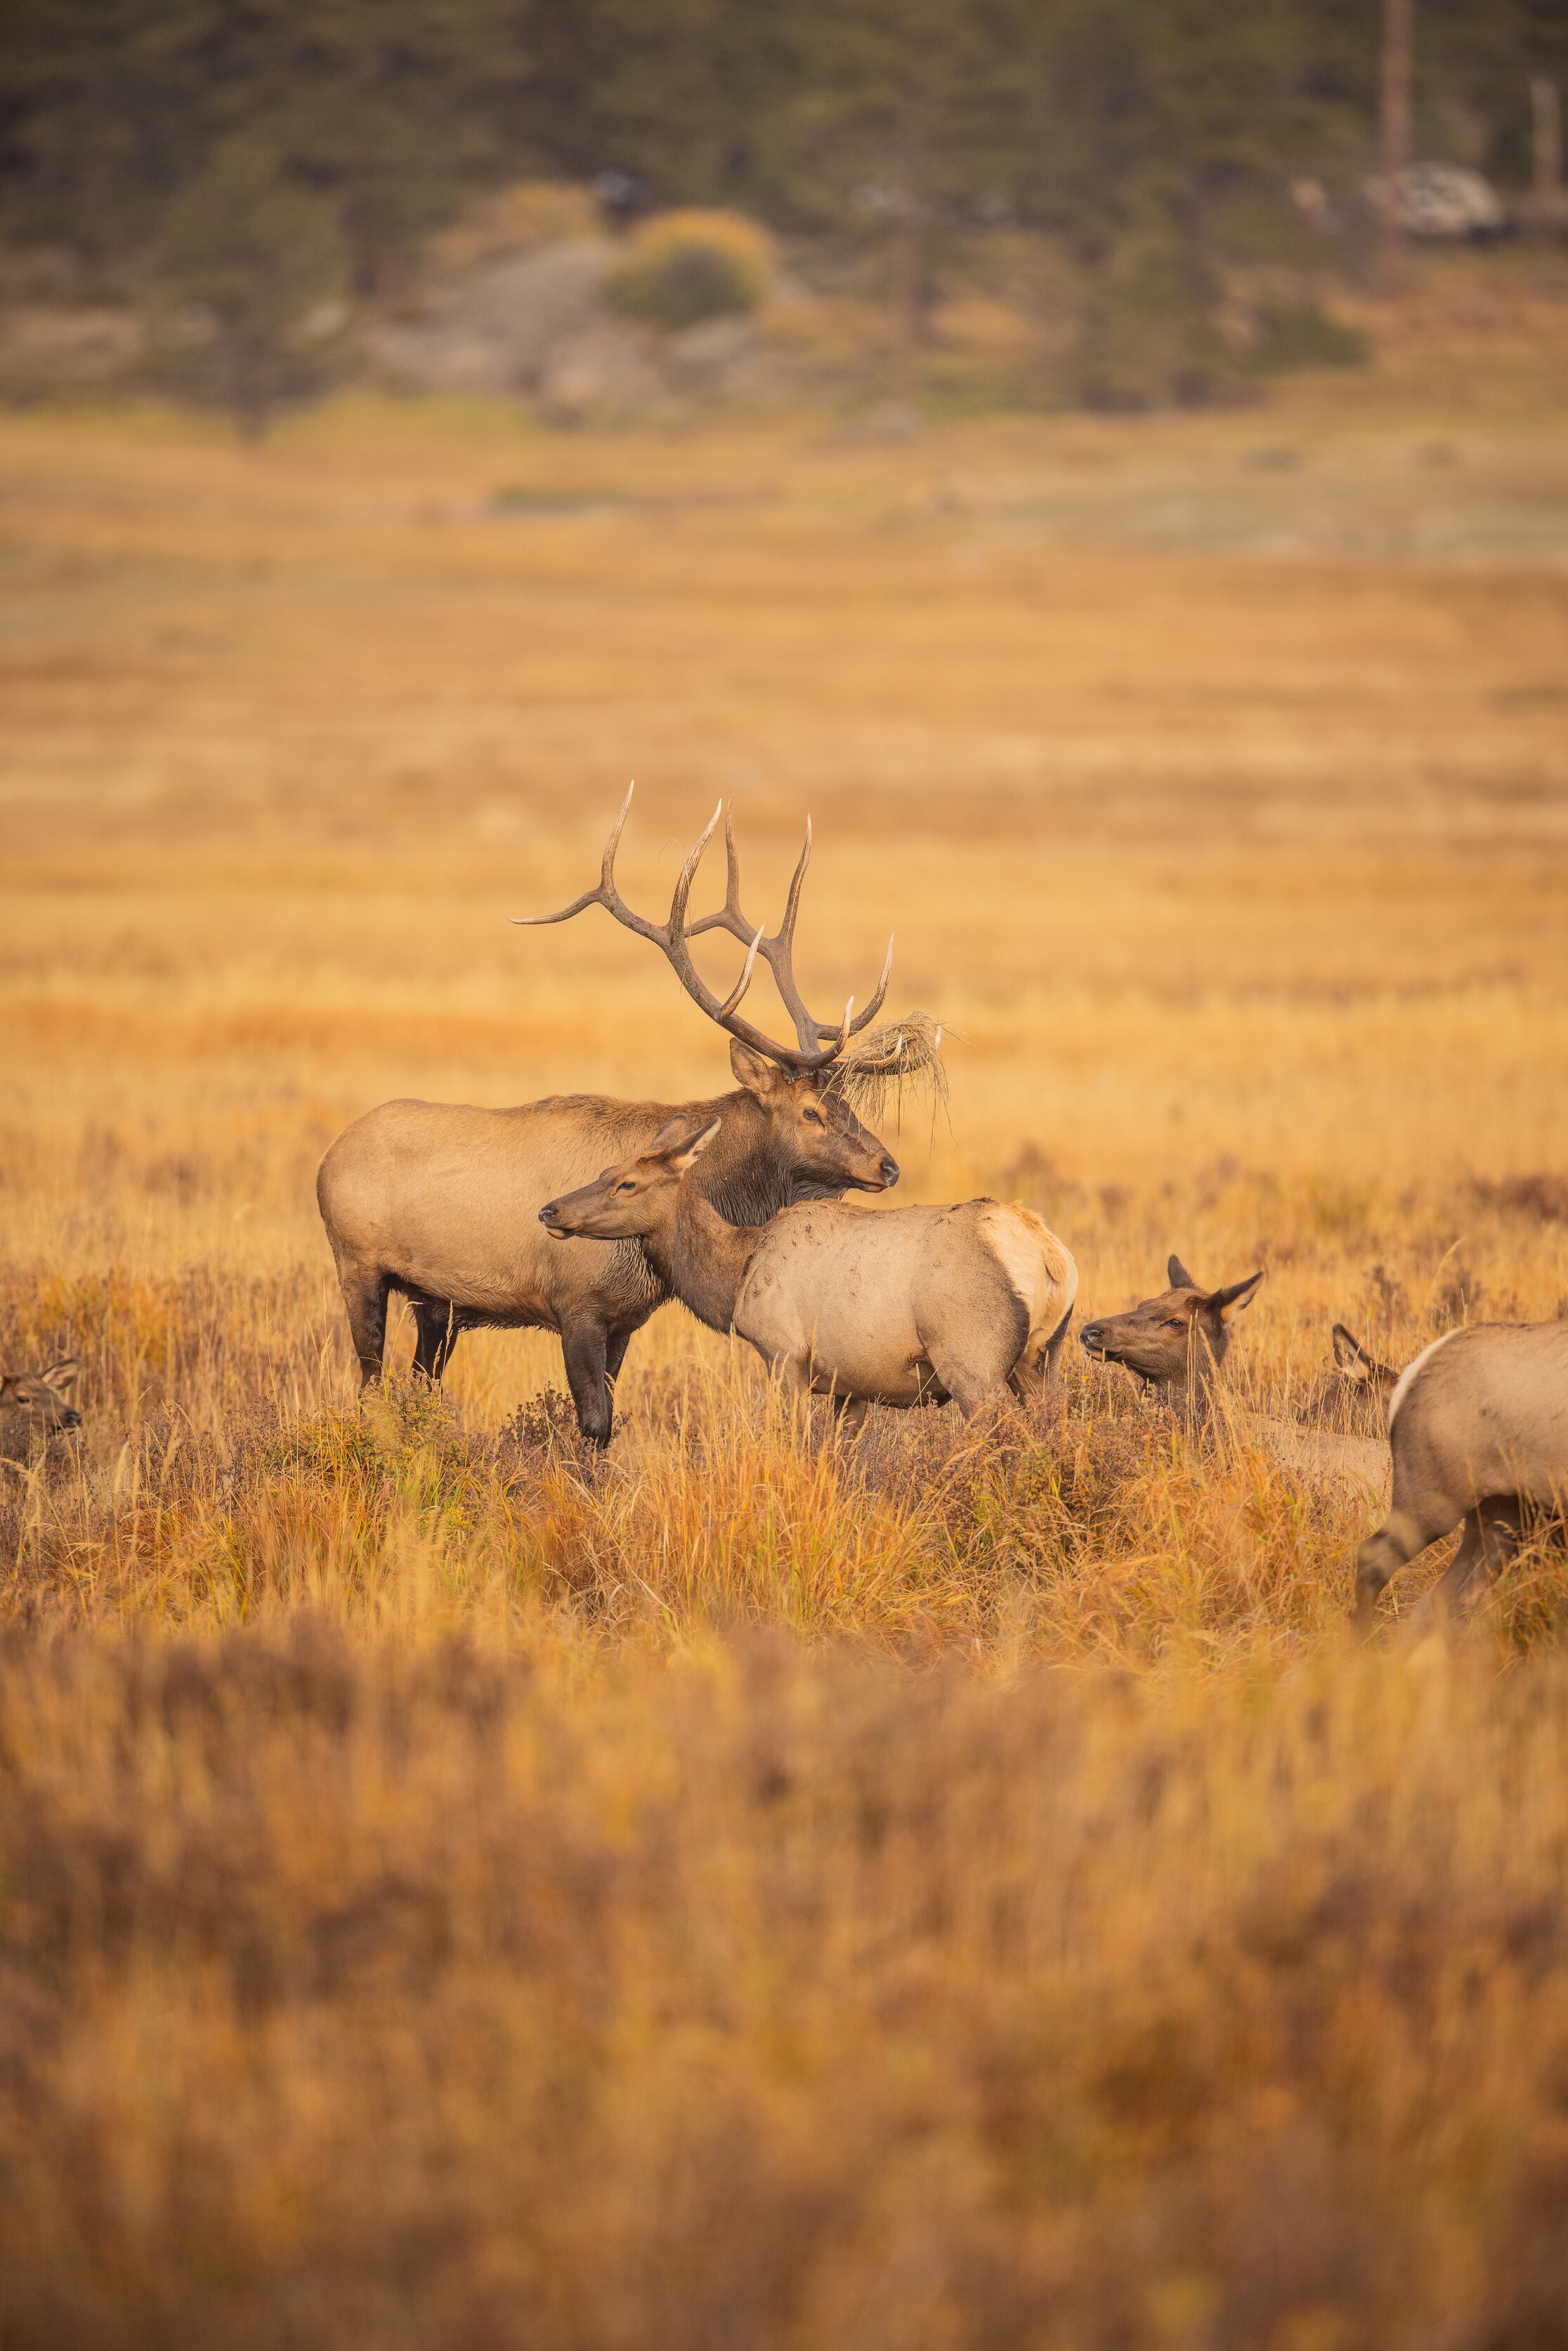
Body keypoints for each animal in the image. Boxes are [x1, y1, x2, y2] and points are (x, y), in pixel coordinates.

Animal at [317, 788, 909, 1445]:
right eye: (811, 1111)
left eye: (847, 1104)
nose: (888, 1166)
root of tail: (329, 1156)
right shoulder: (577, 1304)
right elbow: (594, 1424)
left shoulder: (627, 1320)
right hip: (357, 1265)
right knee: (370, 1383)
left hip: (433, 1302)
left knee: (421, 1382)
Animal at [537, 1115, 1077, 1433]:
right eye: (605, 1171)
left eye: (627, 1183)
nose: (549, 1210)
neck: (736, 1278)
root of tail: (1049, 1257)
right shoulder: (851, 1387)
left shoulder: (784, 1355)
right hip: (1041, 1358)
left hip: (972, 1360)